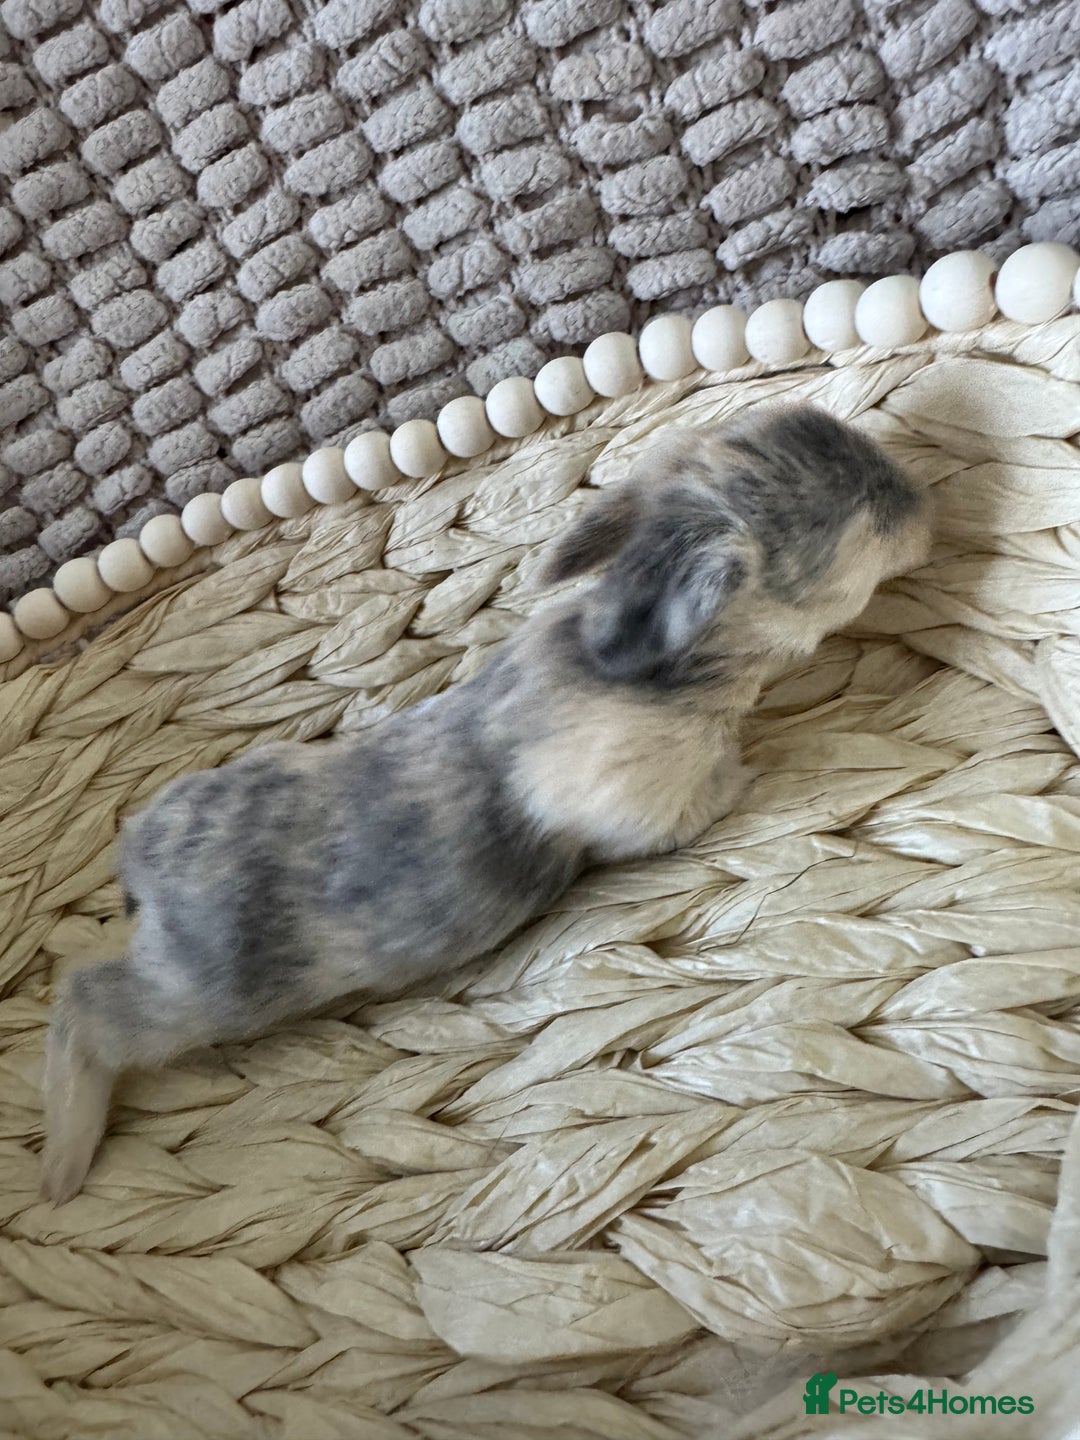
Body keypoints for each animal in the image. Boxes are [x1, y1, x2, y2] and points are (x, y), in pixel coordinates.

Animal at [41, 403, 931, 1202]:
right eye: (866, 518)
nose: (915, 492)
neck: (647, 668)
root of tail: (142, 856)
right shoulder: (649, 801)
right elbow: (714, 789)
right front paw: (763, 758)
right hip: (196, 996)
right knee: (87, 1008)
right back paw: (65, 1161)